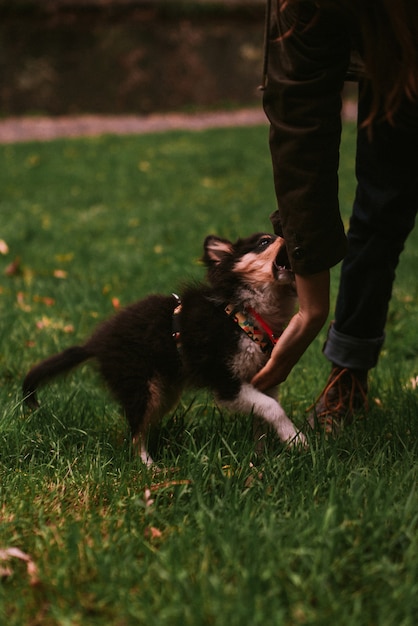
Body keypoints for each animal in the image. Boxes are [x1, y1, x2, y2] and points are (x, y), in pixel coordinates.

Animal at [22, 232, 306, 460]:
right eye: (264, 242)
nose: (291, 237)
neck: (244, 314)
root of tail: (96, 343)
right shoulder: (226, 382)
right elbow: (272, 408)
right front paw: (298, 441)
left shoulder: (263, 379)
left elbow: (263, 418)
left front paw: (264, 455)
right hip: (141, 386)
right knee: (135, 434)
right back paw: (149, 467)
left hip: (163, 391)